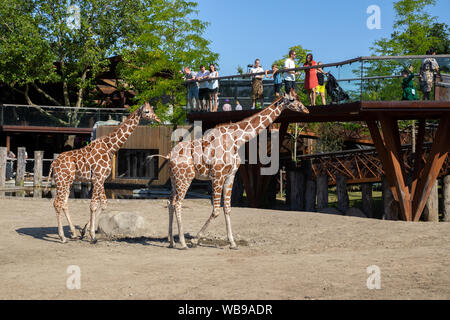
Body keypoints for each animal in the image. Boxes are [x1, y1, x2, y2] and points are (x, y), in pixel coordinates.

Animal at [46, 102, 160, 242]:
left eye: (152, 109)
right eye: (147, 111)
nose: (158, 119)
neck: (110, 148)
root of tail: (53, 163)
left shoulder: (101, 179)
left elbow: (104, 203)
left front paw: (84, 231)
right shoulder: (98, 178)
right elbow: (93, 205)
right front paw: (92, 236)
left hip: (67, 181)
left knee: (64, 203)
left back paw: (73, 233)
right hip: (62, 181)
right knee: (57, 203)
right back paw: (62, 237)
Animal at [149, 89, 308, 250]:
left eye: (298, 97)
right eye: (293, 99)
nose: (306, 109)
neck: (237, 139)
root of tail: (169, 155)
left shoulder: (230, 176)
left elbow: (227, 208)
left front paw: (232, 243)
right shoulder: (217, 176)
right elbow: (216, 210)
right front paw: (195, 240)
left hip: (175, 179)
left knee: (170, 202)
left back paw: (171, 241)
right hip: (185, 178)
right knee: (177, 203)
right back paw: (182, 242)